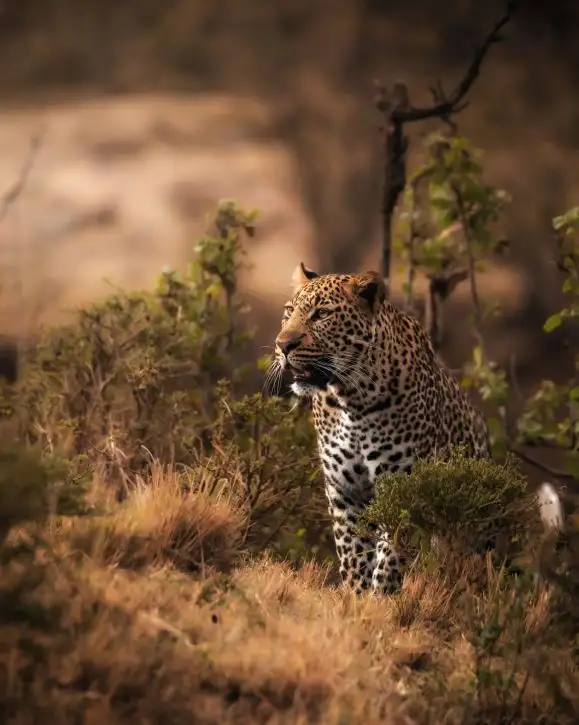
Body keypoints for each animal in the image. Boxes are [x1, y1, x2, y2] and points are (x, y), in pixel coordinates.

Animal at [274, 264, 492, 596]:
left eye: (321, 314)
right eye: (289, 312)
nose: (283, 345)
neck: (351, 398)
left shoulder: (403, 484)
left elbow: (391, 555)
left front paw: (380, 599)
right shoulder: (344, 490)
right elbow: (353, 553)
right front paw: (357, 598)